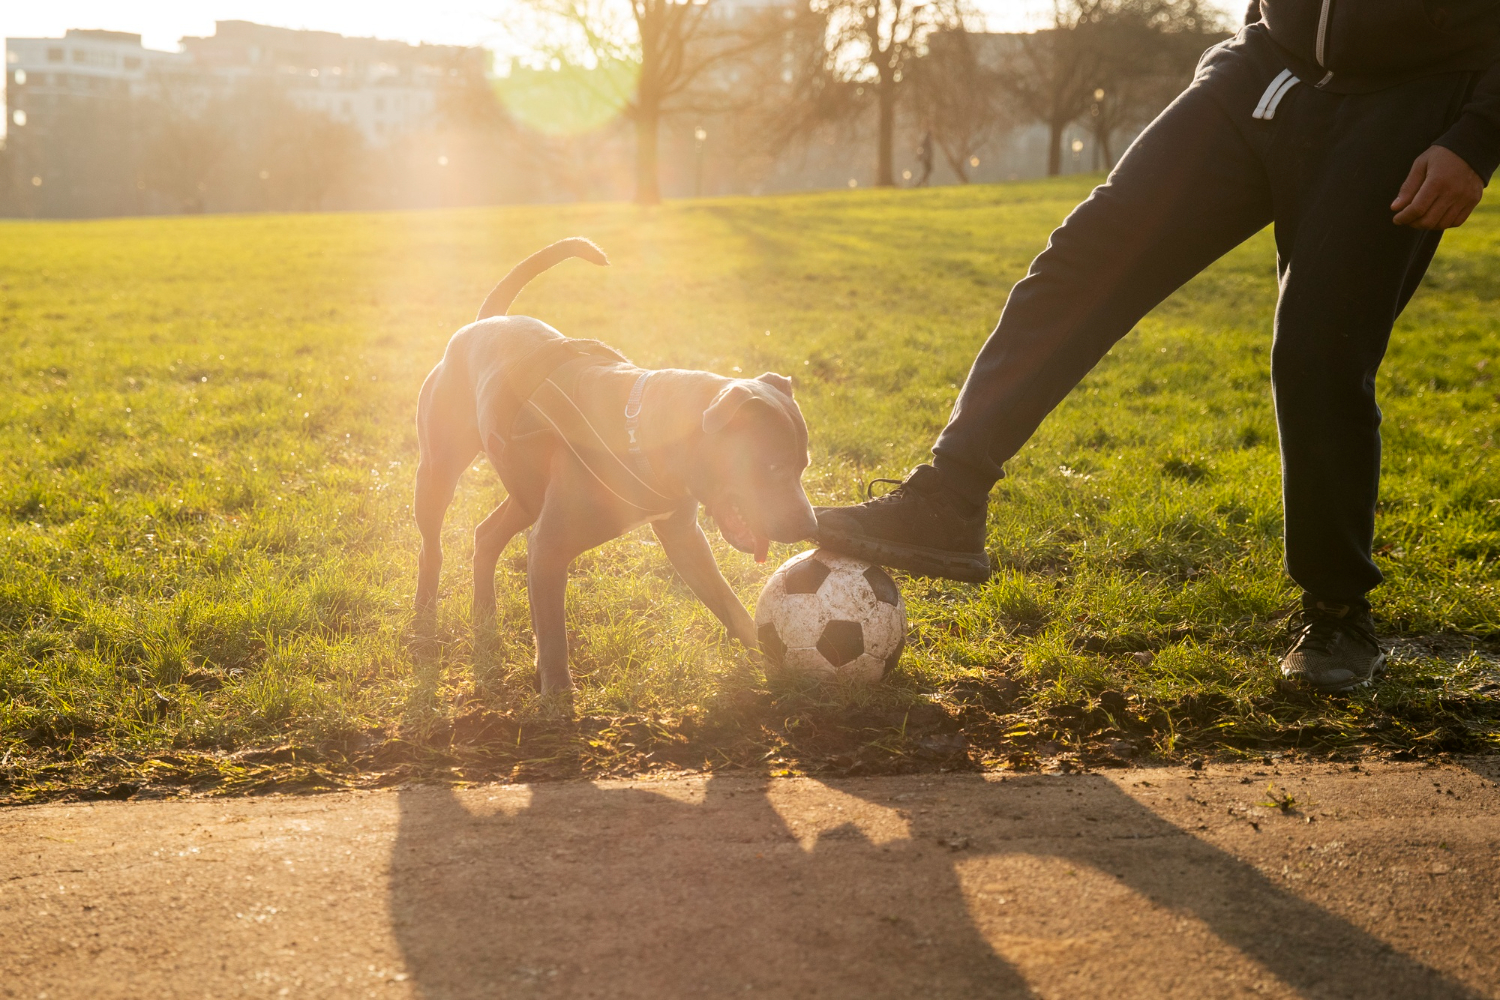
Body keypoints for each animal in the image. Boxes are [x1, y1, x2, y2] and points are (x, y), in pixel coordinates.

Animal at [414, 238, 822, 692]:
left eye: (803, 465)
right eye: (771, 467)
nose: (810, 526)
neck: (643, 432)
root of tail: (485, 321)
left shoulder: (684, 537)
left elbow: (728, 603)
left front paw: (770, 663)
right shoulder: (549, 548)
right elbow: (552, 634)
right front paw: (558, 695)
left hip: (526, 495)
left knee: (486, 535)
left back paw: (484, 614)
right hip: (438, 473)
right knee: (432, 549)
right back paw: (425, 619)